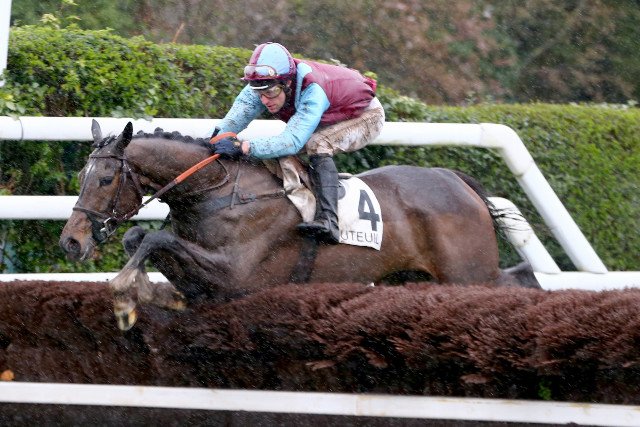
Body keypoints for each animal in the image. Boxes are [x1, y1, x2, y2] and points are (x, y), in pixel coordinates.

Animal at [59, 121, 541, 330]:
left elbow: (154, 236)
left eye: (105, 179)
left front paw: (126, 294)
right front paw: (151, 291)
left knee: (512, 284)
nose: (71, 242)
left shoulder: (238, 277)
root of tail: (456, 180)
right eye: (81, 176)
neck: (219, 190)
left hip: (467, 274)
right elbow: (140, 236)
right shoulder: (210, 282)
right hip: (412, 279)